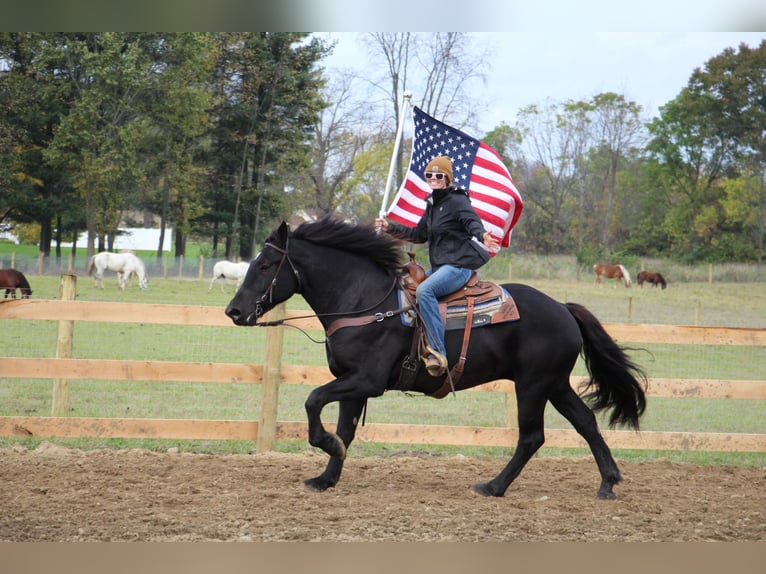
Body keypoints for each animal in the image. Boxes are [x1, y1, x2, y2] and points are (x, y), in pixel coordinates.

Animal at [226, 218, 648, 502]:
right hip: (555, 385)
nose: (234, 311)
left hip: (533, 386)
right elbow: (345, 429)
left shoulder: (366, 381)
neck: (365, 302)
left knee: (532, 437)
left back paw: (493, 486)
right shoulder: (351, 383)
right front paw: (327, 476)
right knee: (586, 423)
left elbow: (313, 400)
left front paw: (325, 444)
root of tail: (562, 308)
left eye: (264, 265)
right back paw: (608, 482)